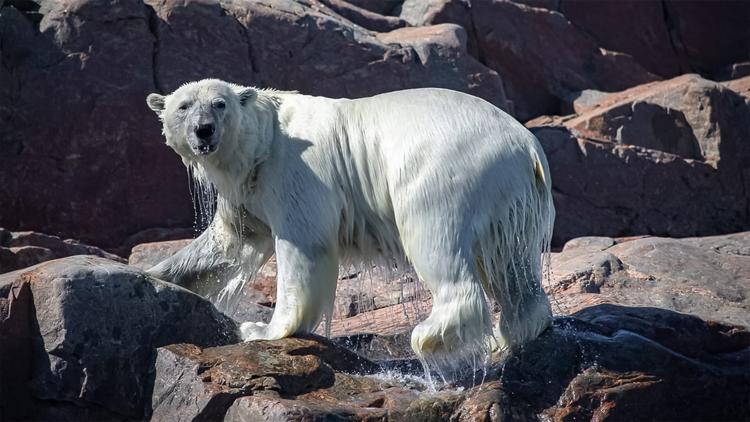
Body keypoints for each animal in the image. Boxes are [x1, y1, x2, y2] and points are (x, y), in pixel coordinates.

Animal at [148, 79, 560, 370]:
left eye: (220, 104)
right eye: (184, 106)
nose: (204, 130)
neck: (263, 143)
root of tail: (528, 145)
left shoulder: (296, 172)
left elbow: (304, 246)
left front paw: (261, 330)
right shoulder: (248, 192)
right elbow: (228, 246)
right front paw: (155, 275)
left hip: (449, 166)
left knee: (433, 236)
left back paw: (432, 336)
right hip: (509, 191)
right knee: (509, 260)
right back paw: (509, 335)